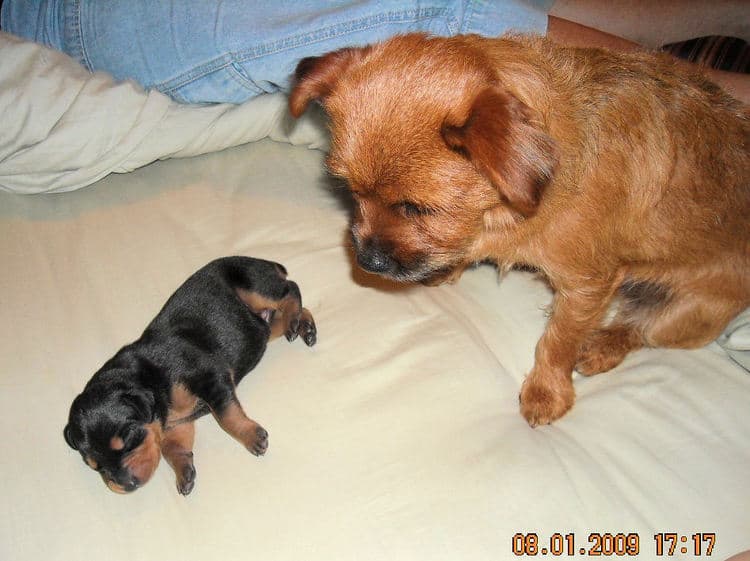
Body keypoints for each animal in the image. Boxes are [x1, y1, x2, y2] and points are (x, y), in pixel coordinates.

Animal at [65, 256, 320, 492]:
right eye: (95, 466)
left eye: (128, 439)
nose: (126, 485)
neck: (150, 379)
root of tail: (263, 261)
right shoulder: (177, 424)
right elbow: (172, 447)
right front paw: (184, 473)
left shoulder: (210, 378)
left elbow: (227, 416)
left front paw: (253, 437)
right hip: (263, 323)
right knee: (286, 312)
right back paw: (304, 326)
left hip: (254, 284)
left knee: (290, 289)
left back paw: (294, 321)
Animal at [290, 34, 750, 424]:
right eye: (350, 191)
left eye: (418, 208)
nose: (366, 261)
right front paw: (449, 267)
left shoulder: (587, 286)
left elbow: (559, 341)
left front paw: (547, 391)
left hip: (689, 314)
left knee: (639, 330)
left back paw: (601, 346)